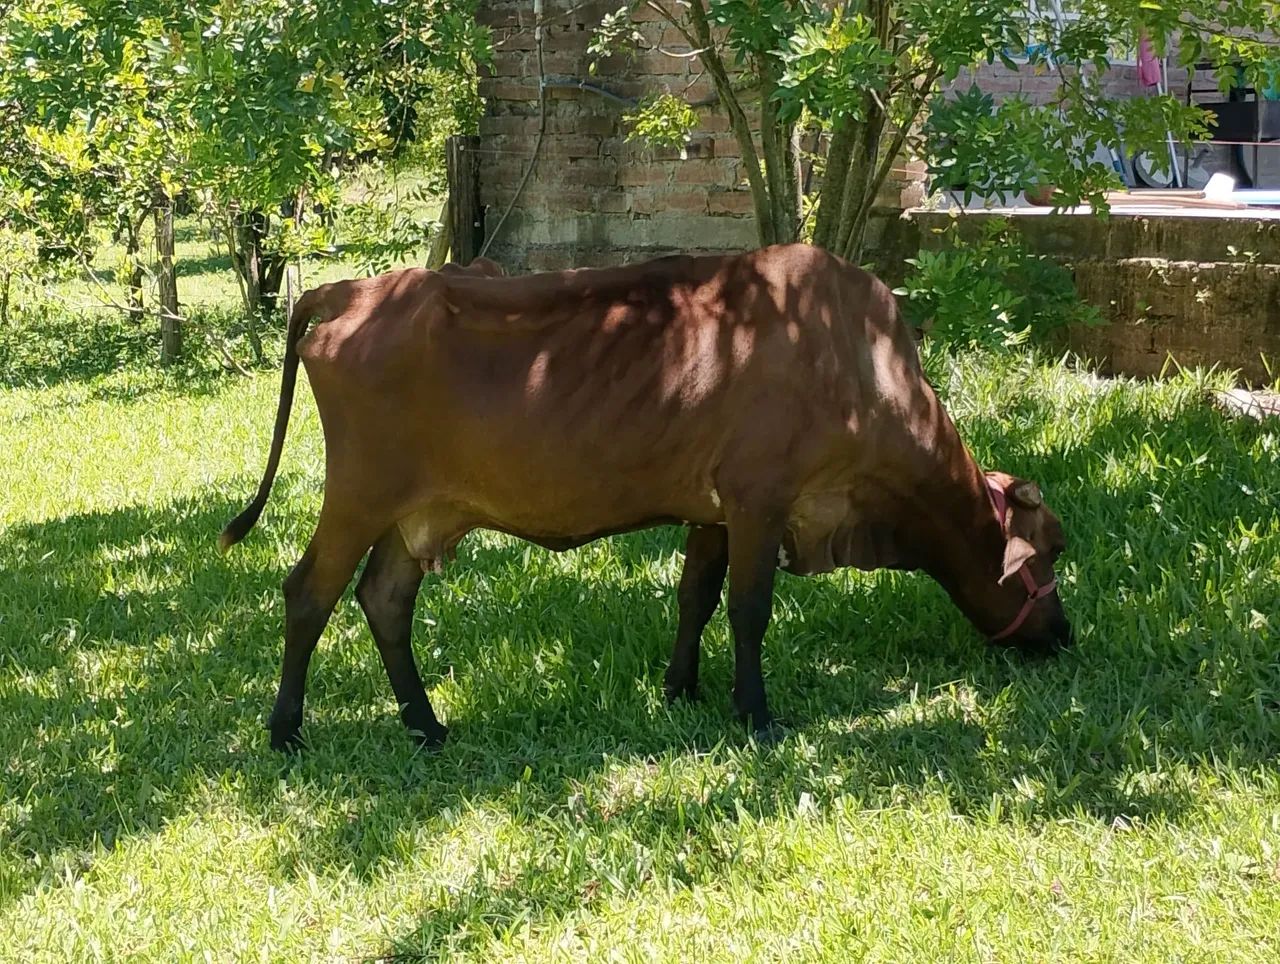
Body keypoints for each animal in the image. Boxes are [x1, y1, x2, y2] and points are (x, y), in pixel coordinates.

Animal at [220, 244, 1071, 752]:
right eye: (1053, 552)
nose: (1064, 635)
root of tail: (353, 289)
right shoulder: (760, 497)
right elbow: (749, 609)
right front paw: (755, 712)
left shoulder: (714, 509)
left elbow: (697, 595)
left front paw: (682, 688)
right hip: (361, 492)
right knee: (310, 593)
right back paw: (286, 730)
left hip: (416, 513)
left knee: (385, 600)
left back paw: (426, 724)